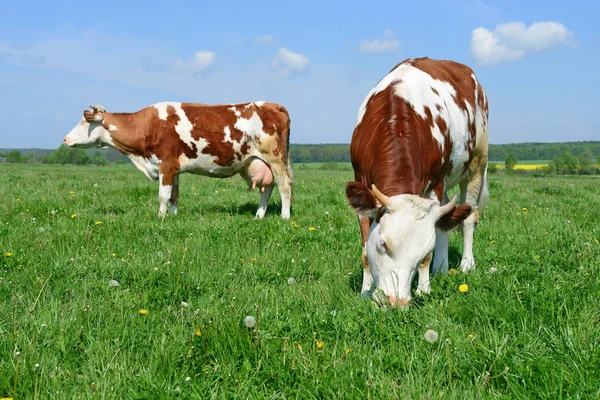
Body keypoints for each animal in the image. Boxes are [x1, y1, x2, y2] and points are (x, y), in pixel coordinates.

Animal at [63, 100, 292, 219]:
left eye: (84, 122)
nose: (65, 138)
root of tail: (272, 104)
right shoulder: (173, 168)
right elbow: (174, 194)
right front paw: (173, 216)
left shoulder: (166, 164)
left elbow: (163, 195)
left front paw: (161, 217)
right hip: (257, 162)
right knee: (267, 188)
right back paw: (258, 216)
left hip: (276, 159)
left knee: (285, 187)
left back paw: (285, 216)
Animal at [344, 57, 490, 306]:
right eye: (383, 244)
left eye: (422, 253)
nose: (395, 301)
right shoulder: (360, 179)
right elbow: (364, 250)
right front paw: (364, 291)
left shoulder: (435, 183)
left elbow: (435, 239)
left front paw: (424, 290)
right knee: (445, 222)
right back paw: (442, 268)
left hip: (477, 162)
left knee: (468, 218)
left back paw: (465, 264)